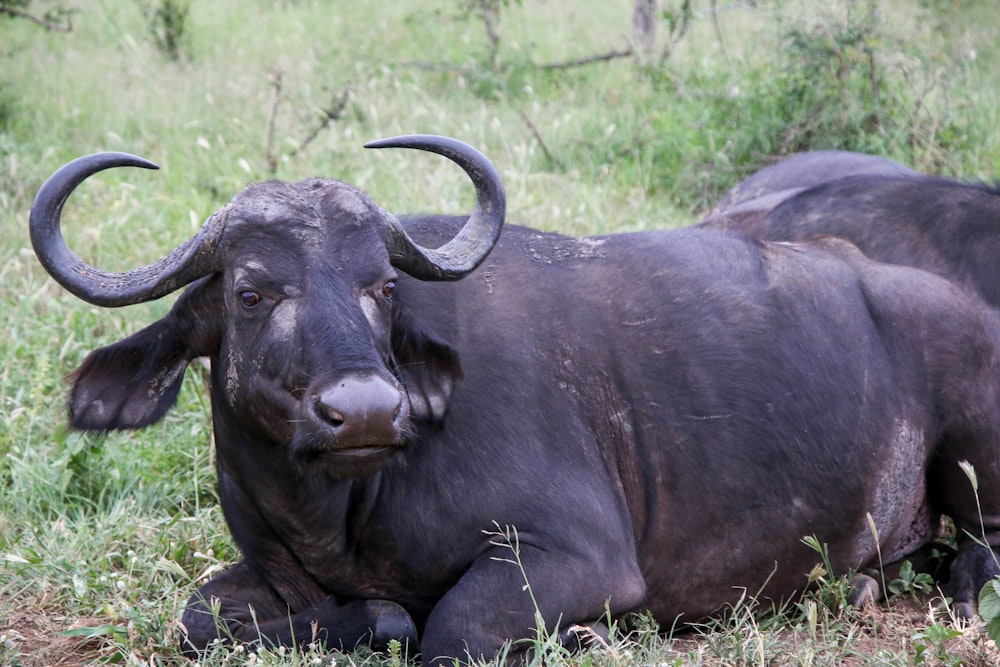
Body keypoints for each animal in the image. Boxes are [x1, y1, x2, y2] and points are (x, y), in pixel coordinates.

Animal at [27, 136, 1000, 664]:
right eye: (251, 291)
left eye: (383, 285)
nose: (367, 411)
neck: (339, 512)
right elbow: (197, 618)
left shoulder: (579, 556)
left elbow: (449, 628)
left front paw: (583, 636)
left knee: (981, 551)